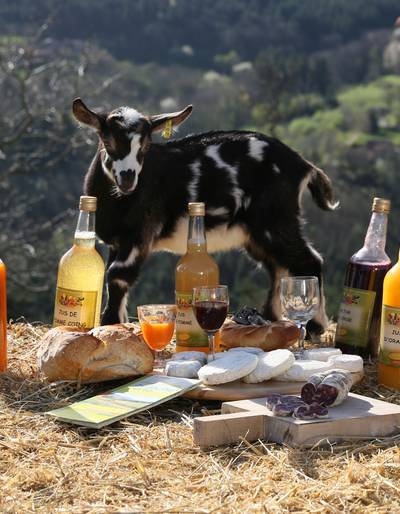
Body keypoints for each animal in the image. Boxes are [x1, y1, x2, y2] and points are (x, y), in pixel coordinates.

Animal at [72, 98, 338, 334]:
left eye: (146, 146)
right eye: (107, 140)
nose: (128, 179)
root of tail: (303, 165)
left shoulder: (139, 234)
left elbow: (117, 275)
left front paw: (108, 324)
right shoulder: (116, 242)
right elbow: (110, 277)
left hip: (275, 219)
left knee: (308, 260)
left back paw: (315, 327)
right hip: (258, 233)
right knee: (278, 266)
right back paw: (270, 318)